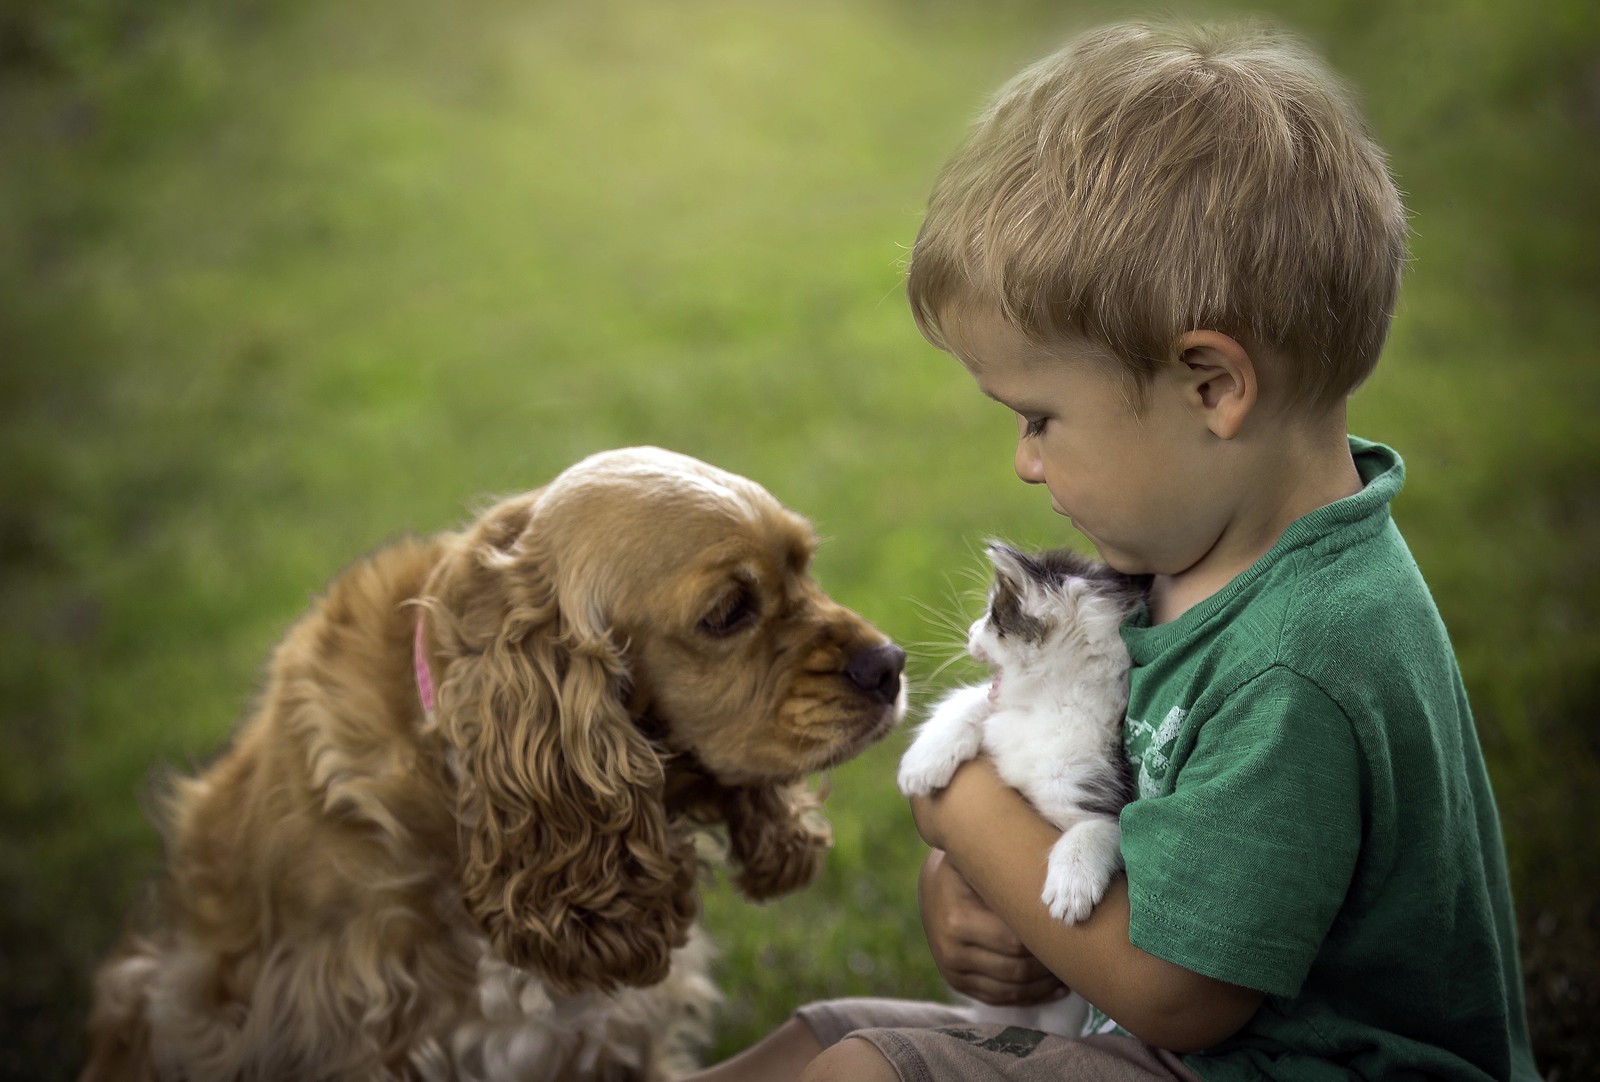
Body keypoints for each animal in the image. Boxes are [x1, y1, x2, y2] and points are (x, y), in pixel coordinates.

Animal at [902, 544, 1152, 1037]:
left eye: (994, 616)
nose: (969, 632)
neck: (1047, 706)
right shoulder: (1003, 719)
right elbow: (975, 700)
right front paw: (925, 759)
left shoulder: (1100, 785)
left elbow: (1100, 827)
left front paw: (1072, 884)